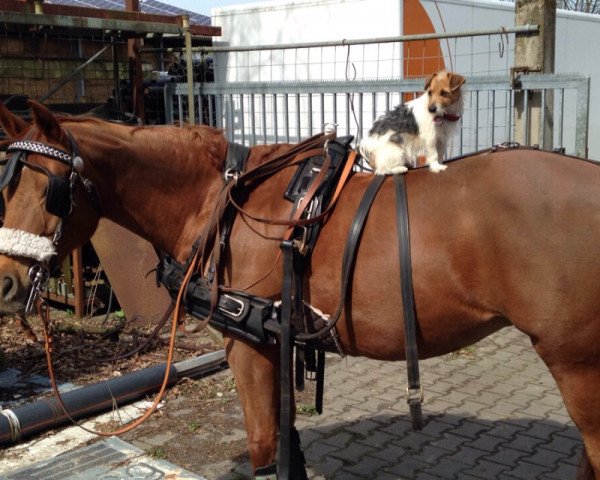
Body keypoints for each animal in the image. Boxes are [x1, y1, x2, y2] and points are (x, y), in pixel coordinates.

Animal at [1, 99, 600, 478]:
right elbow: (288, 445)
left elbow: (265, 448)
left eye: (50, 189)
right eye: (7, 183)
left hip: (577, 365)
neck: (217, 200)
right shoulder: (276, 341)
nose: (6, 281)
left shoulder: (248, 345)